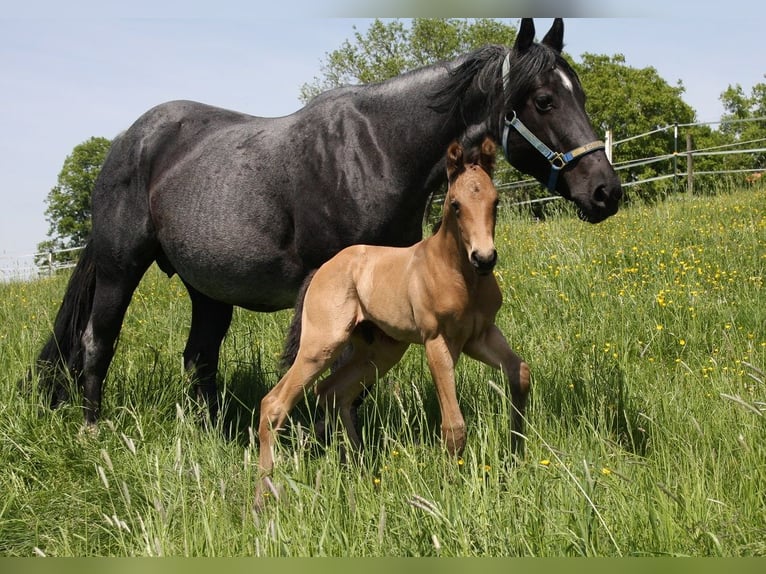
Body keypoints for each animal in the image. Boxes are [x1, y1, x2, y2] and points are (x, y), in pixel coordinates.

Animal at [33, 18, 621, 425]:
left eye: (579, 92)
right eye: (544, 99)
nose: (605, 191)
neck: (375, 151)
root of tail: (127, 141)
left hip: (209, 291)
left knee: (199, 360)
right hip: (119, 270)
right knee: (97, 343)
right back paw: (93, 428)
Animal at [255, 138, 528, 504]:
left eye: (495, 201)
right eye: (455, 205)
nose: (484, 258)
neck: (459, 274)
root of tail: (321, 270)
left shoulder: (479, 336)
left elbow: (520, 374)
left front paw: (516, 459)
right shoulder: (436, 341)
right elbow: (453, 425)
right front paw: (449, 491)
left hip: (380, 352)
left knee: (332, 392)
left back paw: (359, 469)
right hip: (321, 344)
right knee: (274, 404)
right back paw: (263, 498)